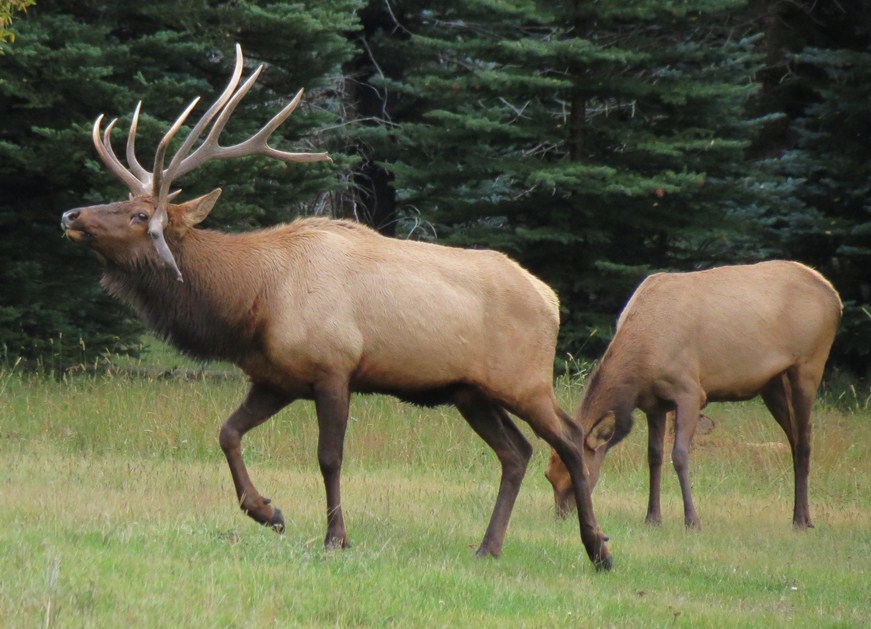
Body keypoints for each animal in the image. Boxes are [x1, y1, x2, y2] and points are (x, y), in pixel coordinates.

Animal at [59, 45, 612, 568]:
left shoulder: (334, 369)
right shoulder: (276, 378)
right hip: (471, 392)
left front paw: (335, 538)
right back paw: (488, 547)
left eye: (139, 215)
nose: (71, 213)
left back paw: (597, 549)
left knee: (570, 438)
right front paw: (267, 511)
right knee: (516, 452)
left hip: (526, 381)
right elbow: (227, 432)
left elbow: (329, 457)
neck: (253, 301)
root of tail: (550, 299)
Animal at [548, 260, 840, 528]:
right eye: (549, 475)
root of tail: (835, 297)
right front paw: (652, 517)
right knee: (794, 437)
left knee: (805, 438)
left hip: (809, 365)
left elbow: (679, 455)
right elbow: (654, 456)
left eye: (583, 473)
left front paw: (692, 520)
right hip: (773, 384)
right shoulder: (653, 403)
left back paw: (803, 520)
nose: (562, 515)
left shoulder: (690, 392)